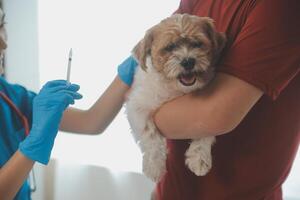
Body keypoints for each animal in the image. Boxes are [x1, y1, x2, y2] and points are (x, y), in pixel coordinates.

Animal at [125, 13, 226, 183]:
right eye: (170, 47)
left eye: (197, 43)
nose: (188, 61)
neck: (177, 90)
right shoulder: (138, 106)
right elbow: (150, 133)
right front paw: (154, 166)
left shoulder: (208, 112)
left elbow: (205, 128)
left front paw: (199, 157)